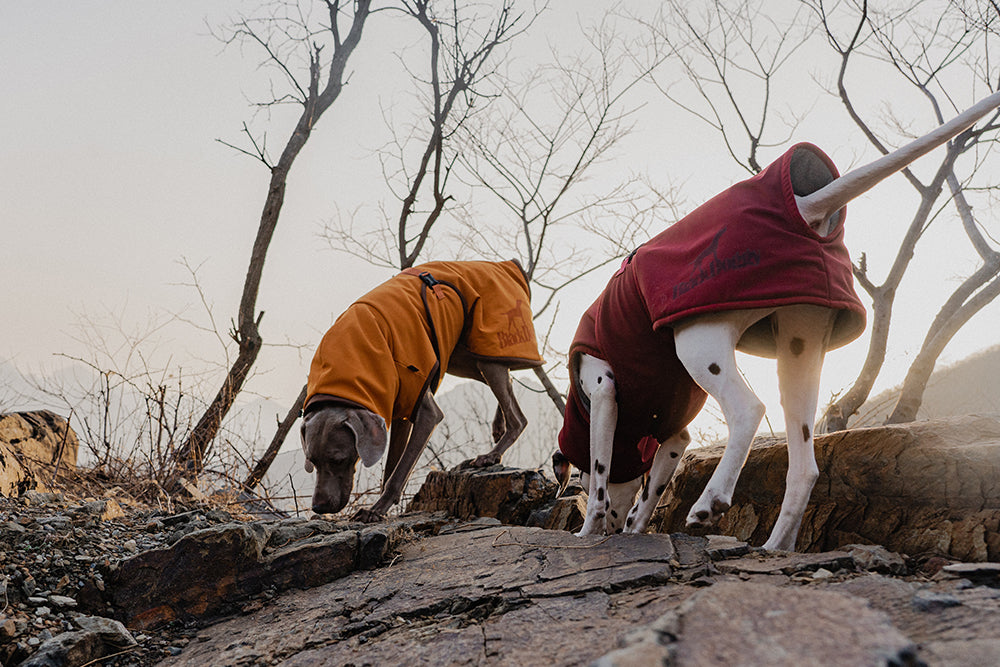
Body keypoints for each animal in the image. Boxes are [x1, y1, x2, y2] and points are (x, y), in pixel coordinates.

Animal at [556, 95, 1000, 552]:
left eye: (577, 482)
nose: (610, 528)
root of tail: (805, 207)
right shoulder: (675, 436)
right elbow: (648, 494)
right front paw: (632, 525)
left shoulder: (603, 393)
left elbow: (602, 479)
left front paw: (588, 528)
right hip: (800, 354)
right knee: (805, 467)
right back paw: (776, 545)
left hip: (699, 343)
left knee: (749, 408)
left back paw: (711, 501)